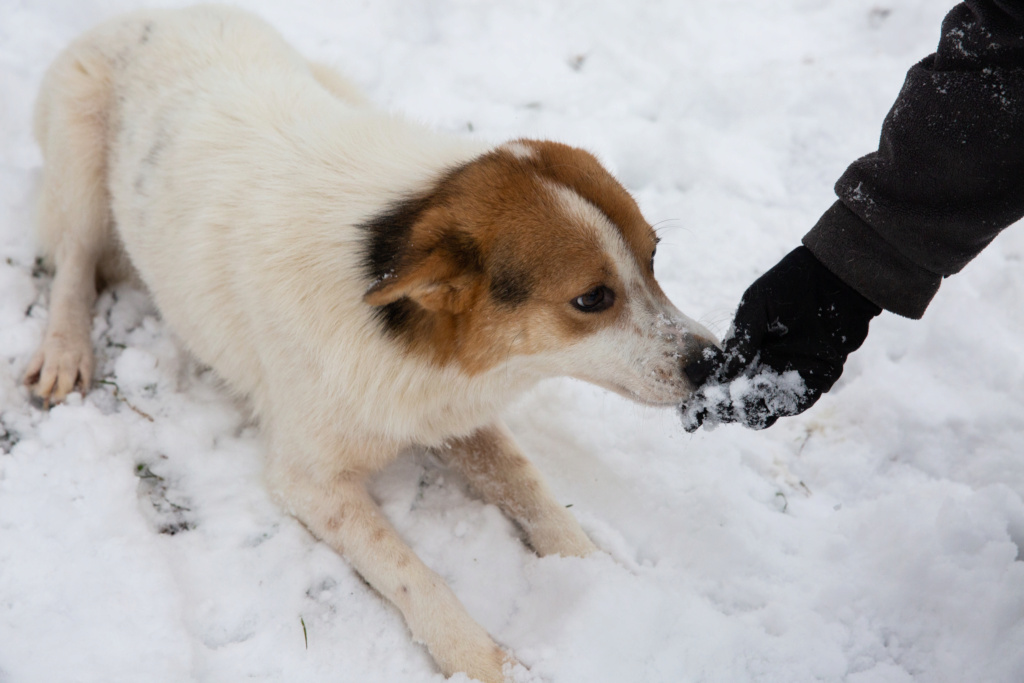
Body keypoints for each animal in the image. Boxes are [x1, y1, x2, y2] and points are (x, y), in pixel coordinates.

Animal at [22, 6, 712, 683]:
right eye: (592, 298)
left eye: (654, 257)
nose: (712, 362)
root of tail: (143, 13)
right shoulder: (308, 480)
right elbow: (413, 575)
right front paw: (485, 661)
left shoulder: (448, 410)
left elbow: (533, 491)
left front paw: (599, 575)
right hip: (80, 157)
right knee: (73, 262)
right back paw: (65, 350)